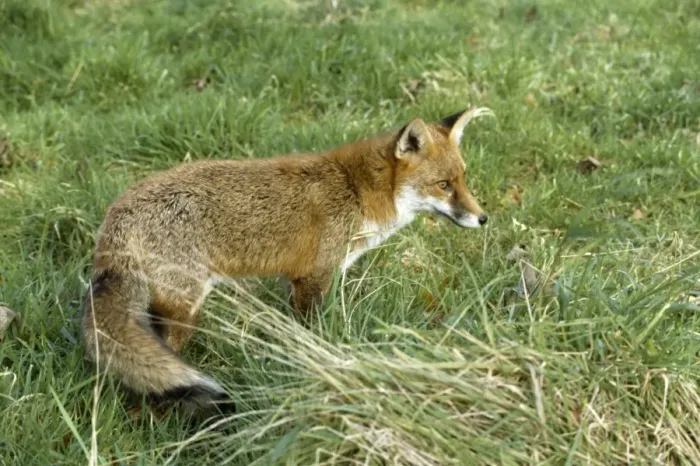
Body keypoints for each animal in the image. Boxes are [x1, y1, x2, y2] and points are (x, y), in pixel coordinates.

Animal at [81, 106, 493, 414]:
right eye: (443, 185)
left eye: (464, 179)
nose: (483, 218)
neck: (356, 191)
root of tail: (116, 216)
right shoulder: (315, 278)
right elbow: (314, 334)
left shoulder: (291, 279)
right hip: (185, 308)